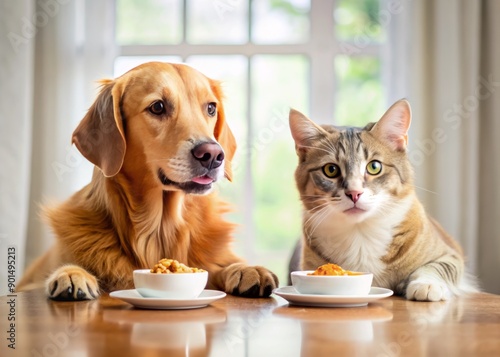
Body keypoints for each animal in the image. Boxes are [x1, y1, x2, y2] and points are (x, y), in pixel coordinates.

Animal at [17, 62, 280, 300]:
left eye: (211, 108)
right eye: (158, 107)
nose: (213, 155)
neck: (158, 230)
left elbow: (217, 267)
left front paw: (247, 269)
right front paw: (71, 274)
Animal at [292, 98, 478, 298]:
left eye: (374, 167)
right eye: (331, 170)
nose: (354, 193)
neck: (360, 233)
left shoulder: (450, 255)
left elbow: (436, 267)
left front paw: (426, 284)